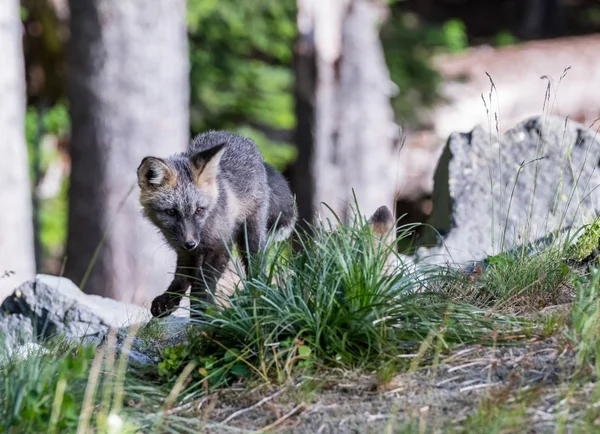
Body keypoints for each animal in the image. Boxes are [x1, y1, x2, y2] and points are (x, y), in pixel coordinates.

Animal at [136, 131, 296, 318]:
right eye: (171, 212)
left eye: (199, 210)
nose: (190, 243)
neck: (204, 229)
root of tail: (237, 136)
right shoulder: (184, 249)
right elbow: (183, 276)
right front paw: (170, 299)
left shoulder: (221, 246)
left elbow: (203, 284)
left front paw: (203, 311)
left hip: (251, 235)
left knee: (256, 264)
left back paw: (256, 295)